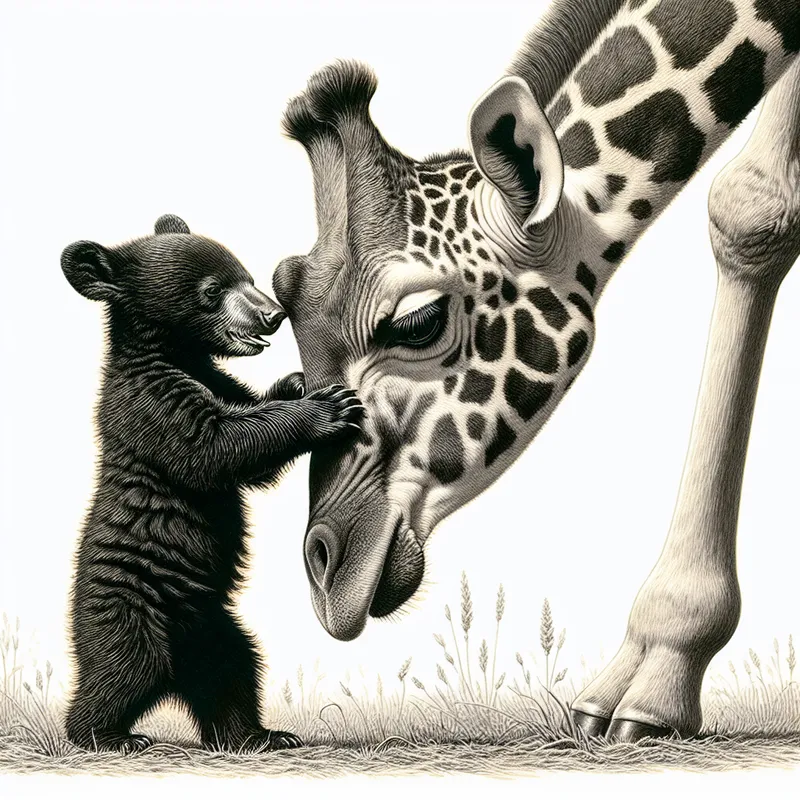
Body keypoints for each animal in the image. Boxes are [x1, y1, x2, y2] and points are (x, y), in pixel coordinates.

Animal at [60, 214, 363, 754]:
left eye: (246, 274)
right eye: (212, 291)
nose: (272, 314)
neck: (177, 354)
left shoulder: (216, 379)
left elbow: (250, 451)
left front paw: (293, 384)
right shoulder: (147, 400)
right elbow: (216, 448)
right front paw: (326, 407)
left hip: (215, 628)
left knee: (235, 671)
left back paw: (260, 735)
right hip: (128, 611)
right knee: (125, 668)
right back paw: (107, 735)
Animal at [274, 0, 800, 741]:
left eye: (419, 318)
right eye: (281, 302)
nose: (325, 578)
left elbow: (756, 208)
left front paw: (658, 684)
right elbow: (750, 208)